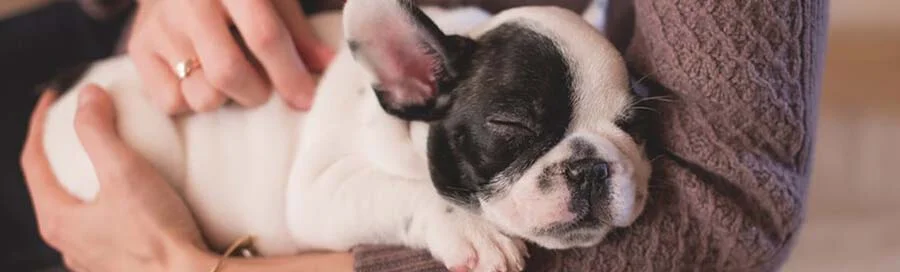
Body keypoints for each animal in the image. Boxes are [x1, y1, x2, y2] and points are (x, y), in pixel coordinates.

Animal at [42, 1, 652, 270]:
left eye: (634, 127)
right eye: (511, 126)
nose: (591, 167)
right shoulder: (321, 192)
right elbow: (408, 192)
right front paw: (473, 231)